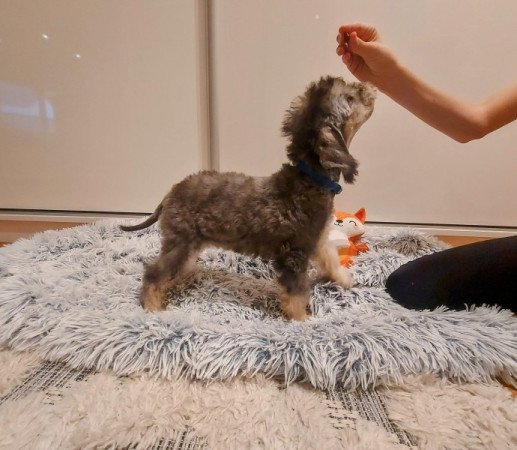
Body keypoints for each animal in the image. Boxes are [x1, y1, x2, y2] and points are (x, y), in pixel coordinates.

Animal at [121, 74, 374, 320]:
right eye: (350, 97)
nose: (369, 87)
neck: (310, 178)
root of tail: (170, 194)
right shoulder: (293, 256)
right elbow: (296, 293)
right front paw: (301, 321)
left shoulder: (317, 240)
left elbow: (331, 260)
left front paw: (344, 280)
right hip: (181, 242)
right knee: (153, 273)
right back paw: (152, 308)